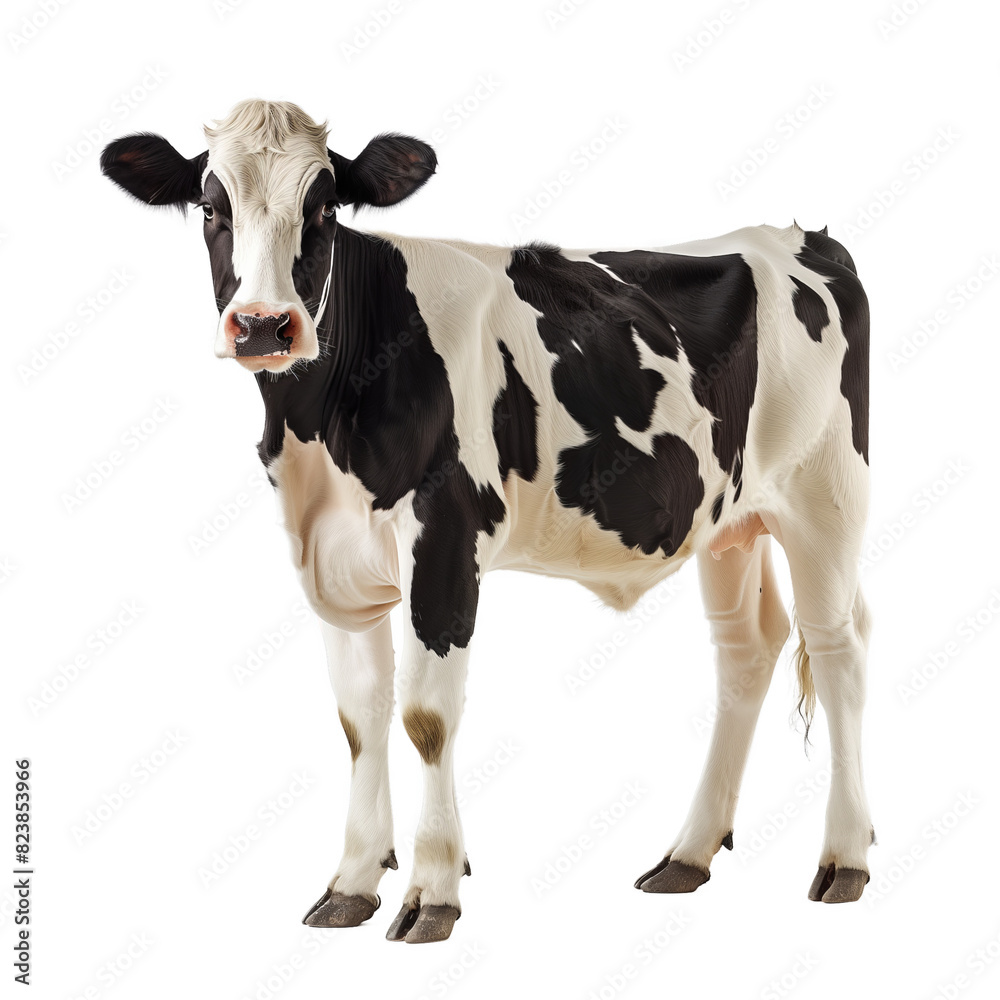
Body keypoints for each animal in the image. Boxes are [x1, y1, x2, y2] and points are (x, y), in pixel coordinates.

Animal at [101, 99, 873, 944]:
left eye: (325, 209)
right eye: (212, 208)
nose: (266, 326)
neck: (321, 429)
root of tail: (804, 237)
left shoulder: (444, 542)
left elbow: (424, 718)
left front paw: (432, 891)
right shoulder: (332, 558)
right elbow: (358, 719)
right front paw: (353, 882)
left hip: (826, 497)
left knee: (837, 651)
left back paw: (844, 860)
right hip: (730, 518)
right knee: (747, 650)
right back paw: (688, 855)